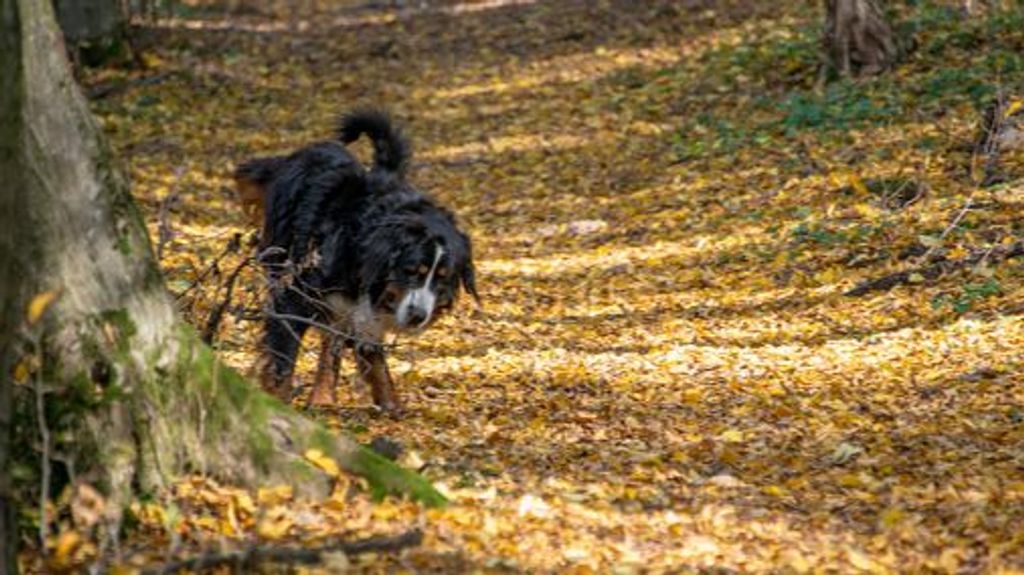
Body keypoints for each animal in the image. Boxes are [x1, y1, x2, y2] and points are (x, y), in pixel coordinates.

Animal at [235, 108, 479, 411]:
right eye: (411, 270)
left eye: (442, 278)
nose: (417, 317)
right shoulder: (292, 297)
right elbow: (282, 361)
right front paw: (276, 403)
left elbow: (374, 359)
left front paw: (392, 405)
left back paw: (323, 397)